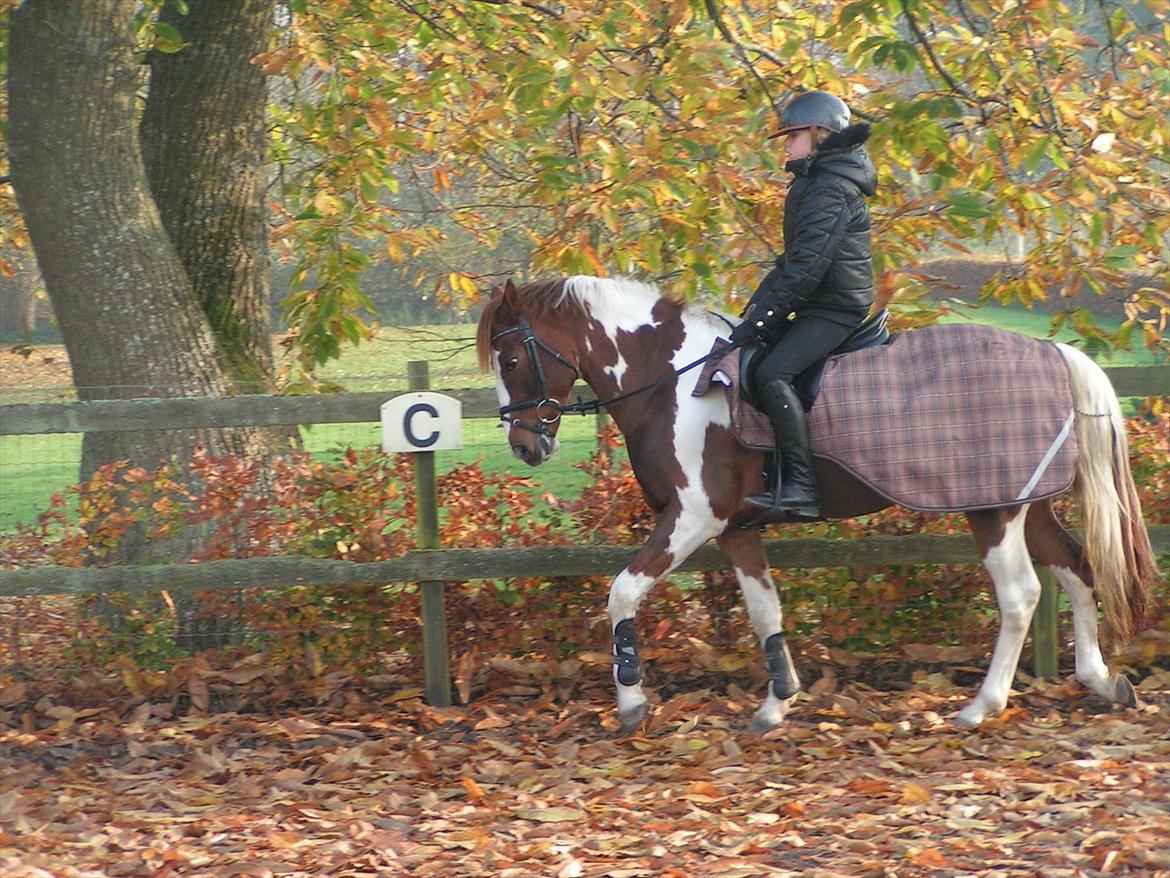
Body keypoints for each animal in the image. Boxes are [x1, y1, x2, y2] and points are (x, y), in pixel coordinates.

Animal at [472, 275, 1151, 735]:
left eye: (512, 358)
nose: (526, 446)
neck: (673, 382)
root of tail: (1056, 355)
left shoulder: (692, 518)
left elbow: (621, 592)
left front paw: (633, 703)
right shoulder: (735, 529)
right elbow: (764, 612)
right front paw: (778, 702)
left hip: (994, 511)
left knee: (1020, 597)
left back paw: (980, 708)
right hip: (1025, 503)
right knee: (1078, 570)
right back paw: (1099, 680)